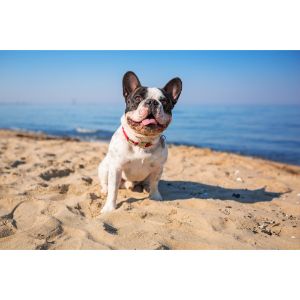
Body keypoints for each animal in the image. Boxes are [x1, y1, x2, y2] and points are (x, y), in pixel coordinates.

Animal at [99, 71, 183, 212]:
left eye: (164, 101)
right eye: (138, 98)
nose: (152, 102)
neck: (142, 142)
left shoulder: (158, 168)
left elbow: (155, 183)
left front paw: (155, 196)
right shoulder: (116, 168)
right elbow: (113, 190)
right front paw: (109, 208)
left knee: (149, 182)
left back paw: (146, 188)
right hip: (105, 167)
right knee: (106, 183)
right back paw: (104, 190)